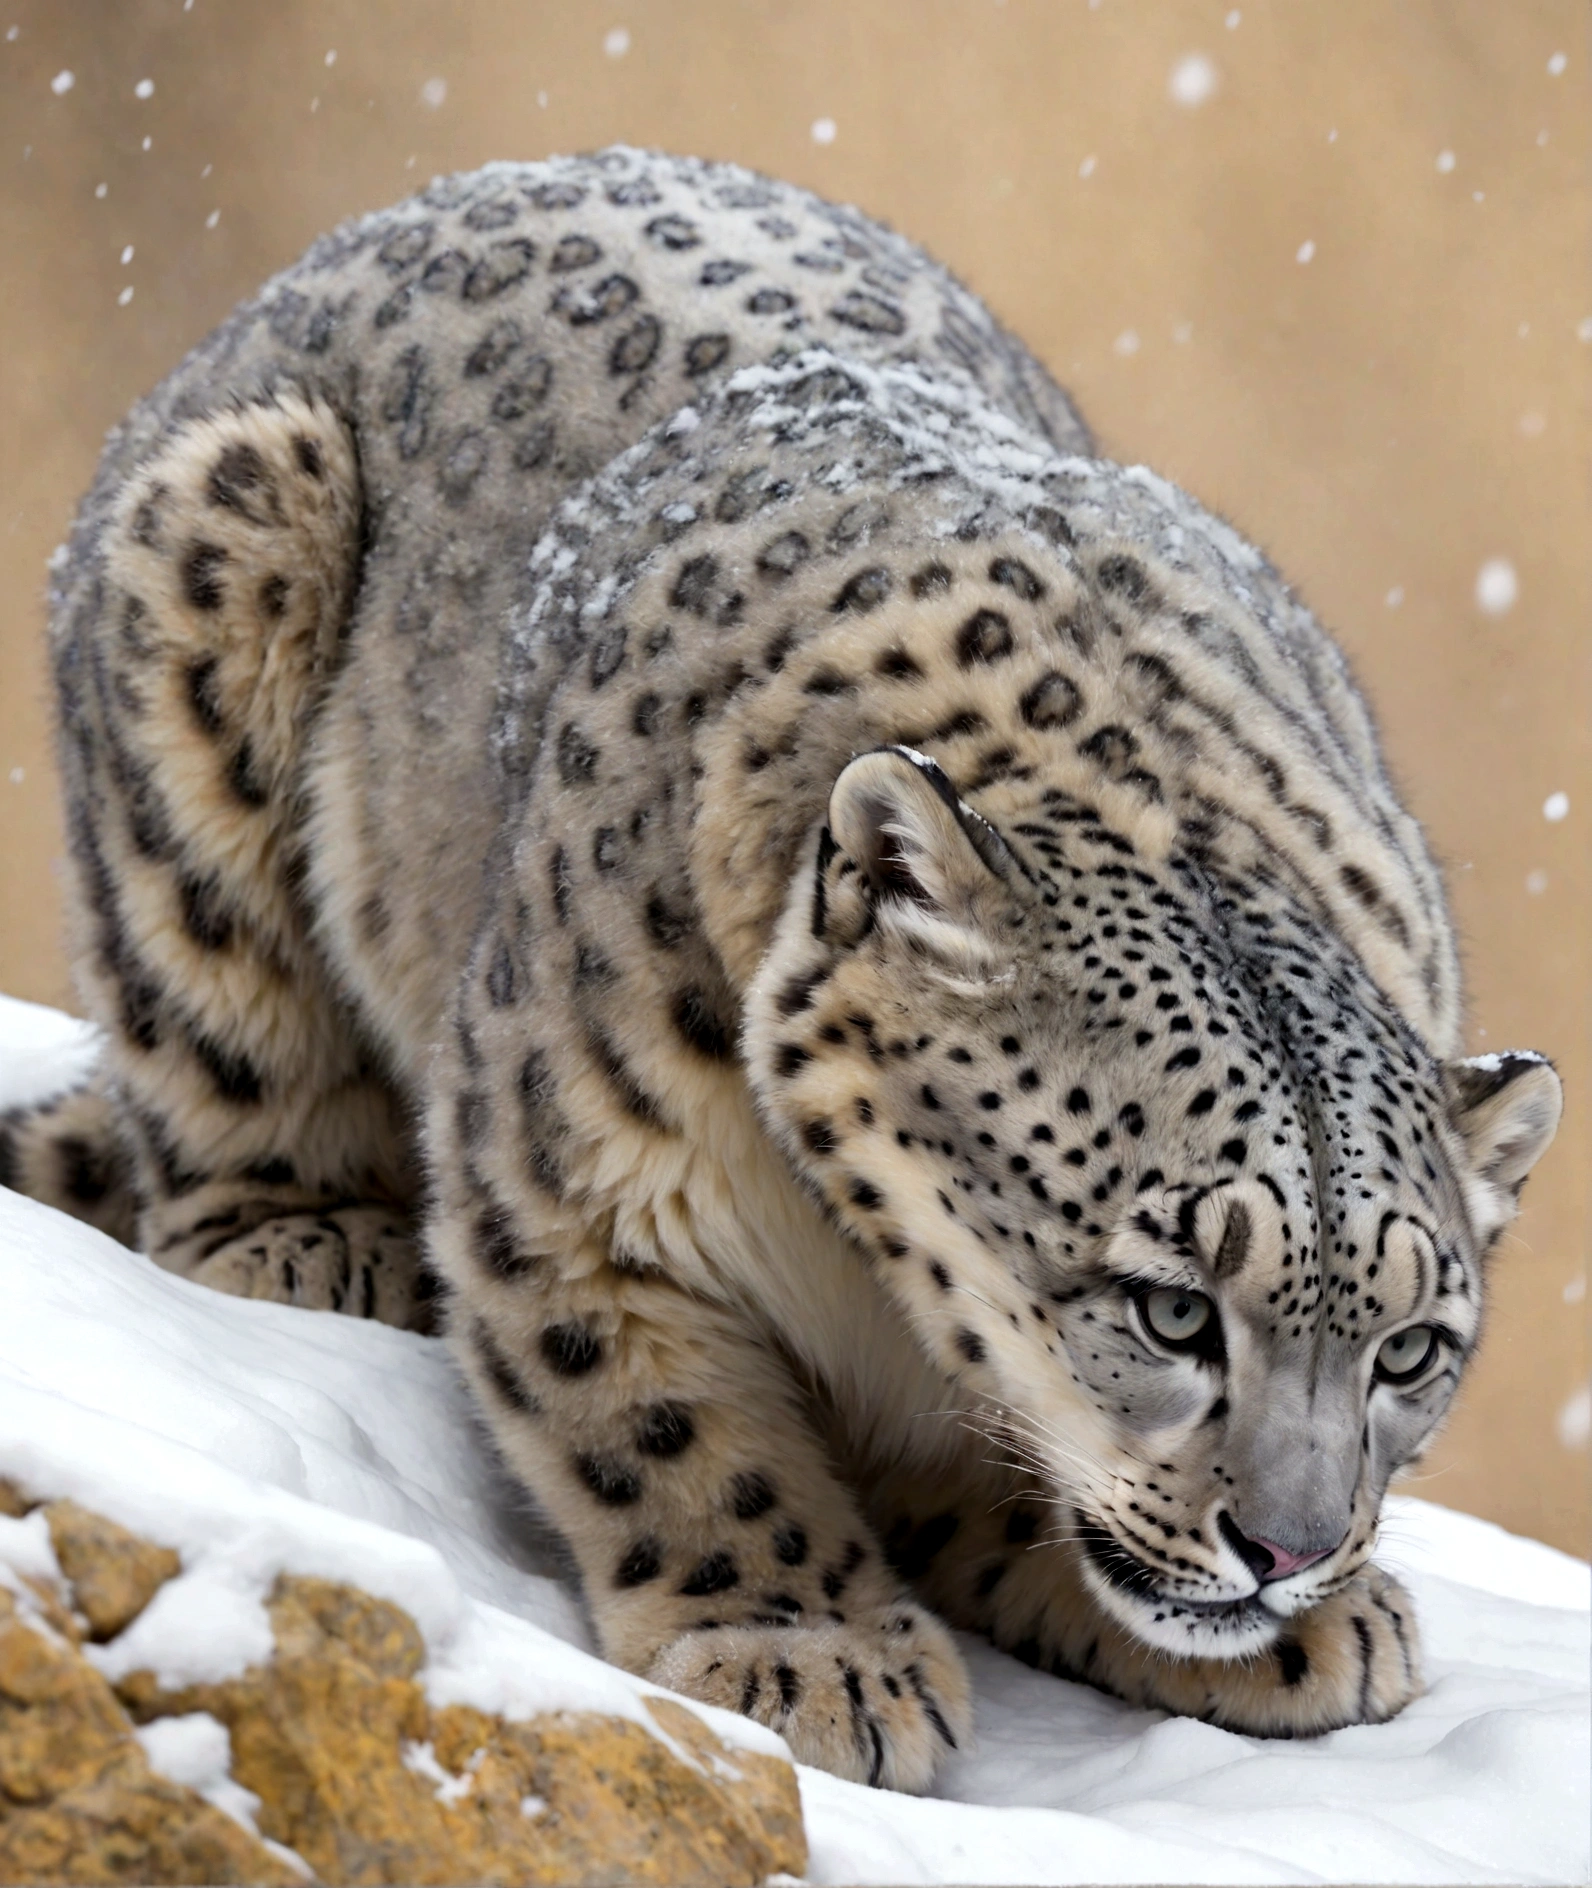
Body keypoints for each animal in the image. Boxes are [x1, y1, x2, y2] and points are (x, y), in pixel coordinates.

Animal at [6, 147, 1563, 1782]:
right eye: (1170, 1307)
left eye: (1411, 1348)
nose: (1290, 1551)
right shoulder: (574, 1182)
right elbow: (660, 1416)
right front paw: (807, 1648)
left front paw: (1297, 1629)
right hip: (219, 574)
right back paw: (310, 1233)